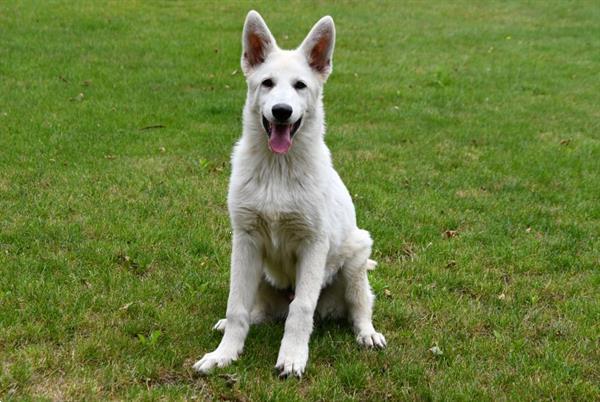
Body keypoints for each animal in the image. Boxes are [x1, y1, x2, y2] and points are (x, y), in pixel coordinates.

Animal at [195, 11, 386, 378]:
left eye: (300, 85)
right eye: (267, 83)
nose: (281, 111)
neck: (277, 170)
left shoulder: (313, 244)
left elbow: (301, 309)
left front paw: (293, 357)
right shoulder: (246, 241)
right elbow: (236, 306)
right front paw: (224, 354)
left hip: (355, 261)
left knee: (358, 307)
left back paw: (367, 334)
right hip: (259, 273)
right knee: (255, 312)